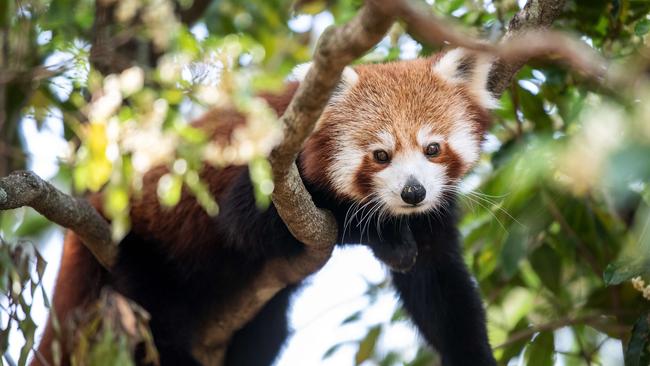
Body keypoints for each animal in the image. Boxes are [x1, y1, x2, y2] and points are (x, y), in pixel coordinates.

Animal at [33, 49, 494, 366]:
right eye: (381, 156)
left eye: (432, 149)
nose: (413, 193)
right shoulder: (272, 169)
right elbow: (249, 224)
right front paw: (385, 236)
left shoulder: (435, 215)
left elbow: (439, 287)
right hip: (138, 251)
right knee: (155, 324)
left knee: (267, 333)